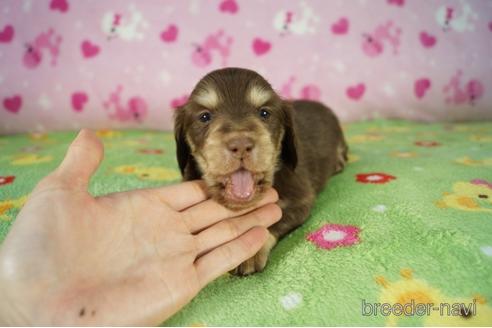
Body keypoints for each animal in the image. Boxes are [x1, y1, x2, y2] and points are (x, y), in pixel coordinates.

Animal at [175, 68, 348, 276]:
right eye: (204, 117)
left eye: (264, 113)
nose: (241, 145)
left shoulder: (300, 199)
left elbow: (273, 220)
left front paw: (250, 253)